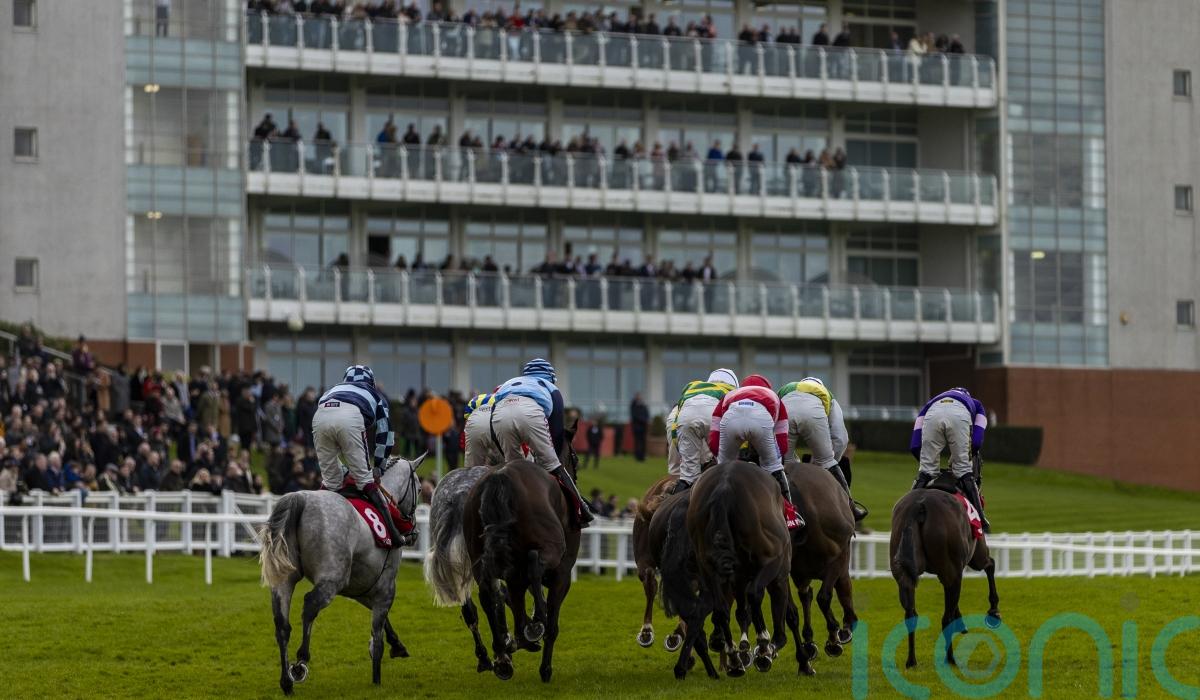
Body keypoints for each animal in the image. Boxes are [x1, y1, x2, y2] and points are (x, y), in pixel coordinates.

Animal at [259, 454, 425, 694]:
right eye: (420, 489)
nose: (413, 532)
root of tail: (299, 498)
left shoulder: (361, 588)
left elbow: (383, 622)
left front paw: (397, 645)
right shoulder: (386, 587)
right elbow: (377, 634)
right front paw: (376, 678)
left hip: (284, 581)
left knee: (282, 624)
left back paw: (286, 682)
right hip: (331, 580)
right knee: (310, 605)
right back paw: (300, 662)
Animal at [462, 422, 581, 682]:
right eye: (575, 458)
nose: (575, 475)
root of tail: (500, 476)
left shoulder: (515, 576)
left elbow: (512, 601)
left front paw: (516, 642)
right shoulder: (563, 574)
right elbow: (553, 624)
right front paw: (545, 668)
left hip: (479, 554)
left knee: (487, 593)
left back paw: (502, 652)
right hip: (550, 548)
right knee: (535, 563)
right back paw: (533, 627)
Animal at [688, 461, 801, 676]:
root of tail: (723, 489)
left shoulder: (738, 576)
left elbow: (741, 611)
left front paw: (743, 650)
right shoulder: (779, 568)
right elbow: (785, 614)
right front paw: (769, 649)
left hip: (707, 566)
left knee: (721, 607)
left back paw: (734, 659)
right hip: (770, 561)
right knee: (754, 594)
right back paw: (763, 646)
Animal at [784, 459, 858, 675]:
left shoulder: (798, 572)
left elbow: (802, 601)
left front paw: (809, 645)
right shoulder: (839, 557)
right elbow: (831, 594)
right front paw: (839, 633)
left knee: (792, 611)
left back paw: (804, 660)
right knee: (822, 597)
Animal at [889, 471, 1001, 669]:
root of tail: (919, 506)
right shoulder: (974, 556)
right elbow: (990, 565)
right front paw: (993, 610)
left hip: (904, 573)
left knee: (911, 615)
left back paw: (911, 660)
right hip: (952, 570)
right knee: (945, 618)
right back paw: (950, 658)